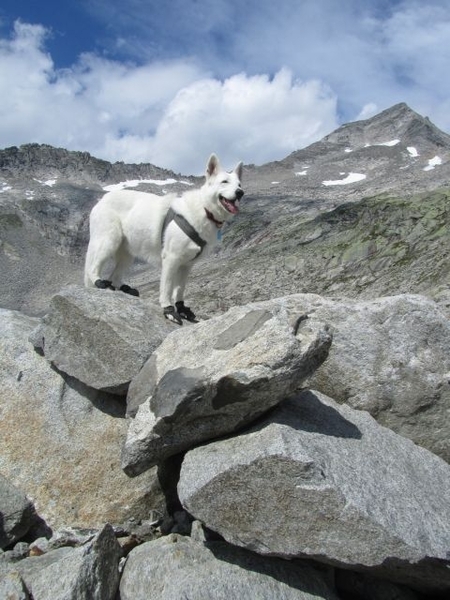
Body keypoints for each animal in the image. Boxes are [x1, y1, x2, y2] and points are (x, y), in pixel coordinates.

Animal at [83, 154, 243, 324]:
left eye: (239, 184)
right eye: (224, 182)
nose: (240, 192)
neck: (205, 210)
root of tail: (103, 199)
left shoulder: (186, 265)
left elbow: (179, 290)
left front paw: (182, 309)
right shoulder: (171, 260)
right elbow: (167, 289)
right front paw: (169, 310)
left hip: (127, 255)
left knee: (114, 276)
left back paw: (123, 288)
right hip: (108, 241)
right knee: (93, 268)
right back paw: (99, 282)